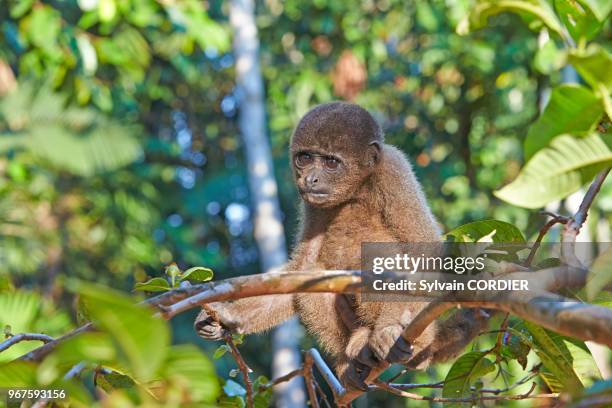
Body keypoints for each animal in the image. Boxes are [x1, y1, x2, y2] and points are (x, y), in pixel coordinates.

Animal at [196, 102, 488, 388]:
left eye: (331, 162)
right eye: (305, 158)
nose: (310, 179)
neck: (358, 187)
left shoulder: (394, 171)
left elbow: (422, 251)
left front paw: (389, 330)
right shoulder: (312, 203)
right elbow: (302, 267)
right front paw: (228, 317)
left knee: (378, 259)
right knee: (316, 274)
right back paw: (353, 357)